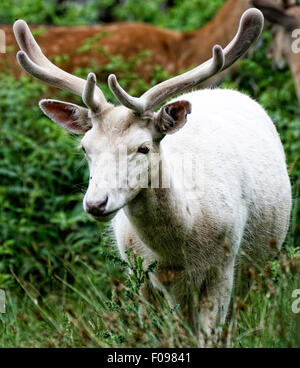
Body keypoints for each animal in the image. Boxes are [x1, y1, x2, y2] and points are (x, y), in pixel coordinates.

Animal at [13, 10, 290, 344]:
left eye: (143, 147)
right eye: (85, 147)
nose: (95, 203)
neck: (180, 252)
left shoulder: (223, 266)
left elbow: (210, 336)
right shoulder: (141, 276)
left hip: (256, 265)